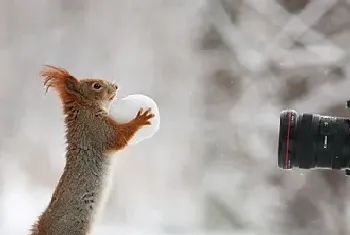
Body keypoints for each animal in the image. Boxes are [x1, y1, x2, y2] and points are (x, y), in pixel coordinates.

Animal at [30, 64, 154, 235]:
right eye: (96, 86)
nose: (116, 86)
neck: (86, 108)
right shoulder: (97, 129)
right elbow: (118, 138)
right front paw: (140, 119)